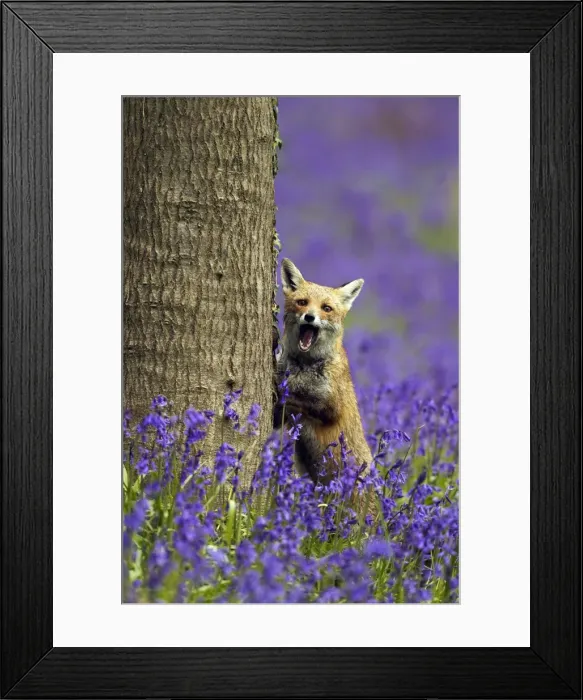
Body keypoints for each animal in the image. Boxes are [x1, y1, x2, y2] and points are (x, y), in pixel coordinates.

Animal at [274, 258, 373, 484]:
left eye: (326, 308)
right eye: (302, 302)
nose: (309, 317)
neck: (304, 367)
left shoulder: (333, 408)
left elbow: (299, 400)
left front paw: (281, 394)